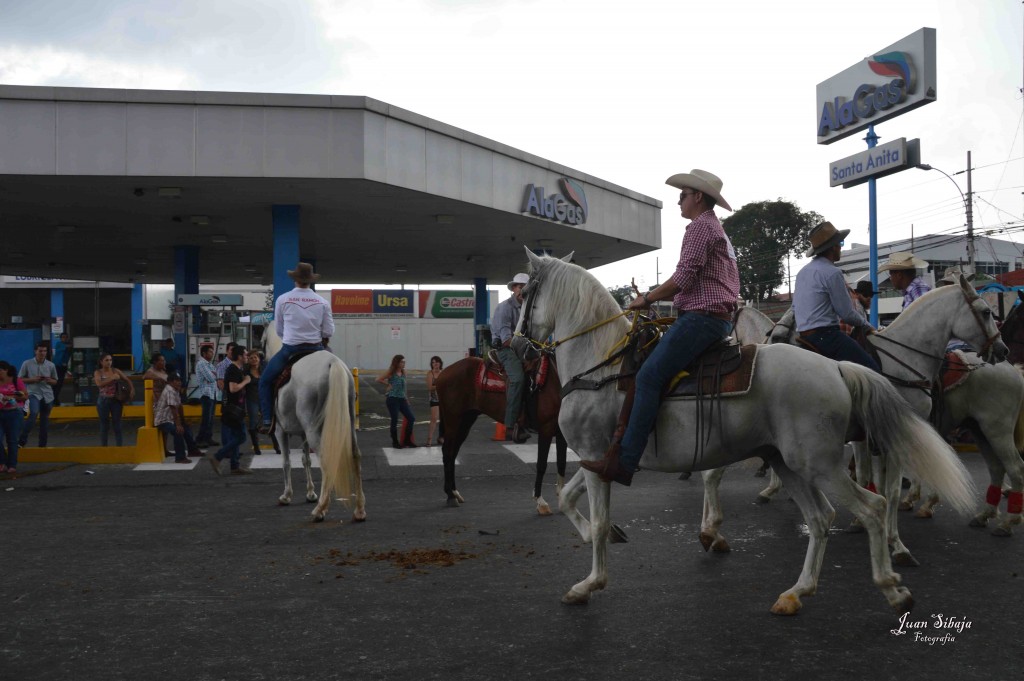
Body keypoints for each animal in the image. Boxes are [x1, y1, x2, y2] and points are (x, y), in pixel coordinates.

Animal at [262, 327, 366, 522]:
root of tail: (333, 364)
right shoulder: (303, 434)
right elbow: (306, 460)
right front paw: (310, 493)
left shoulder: (281, 431)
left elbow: (286, 462)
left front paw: (287, 496)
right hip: (346, 423)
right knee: (355, 455)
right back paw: (359, 510)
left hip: (312, 429)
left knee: (325, 459)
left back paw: (320, 509)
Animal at [436, 356, 573, 509]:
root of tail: (443, 373)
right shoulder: (546, 429)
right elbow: (542, 464)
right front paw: (540, 501)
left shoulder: (561, 433)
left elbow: (561, 463)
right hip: (453, 421)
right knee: (447, 452)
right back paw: (450, 495)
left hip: (465, 421)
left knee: (453, 453)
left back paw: (455, 492)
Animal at [520, 249, 974, 610]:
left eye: (524, 295)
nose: (518, 344)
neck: (600, 365)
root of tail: (837, 368)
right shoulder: (597, 459)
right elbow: (567, 498)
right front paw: (599, 536)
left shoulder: (597, 459)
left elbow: (596, 521)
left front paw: (588, 583)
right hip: (789, 463)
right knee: (822, 517)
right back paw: (797, 591)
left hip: (820, 464)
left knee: (874, 505)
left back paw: (891, 584)